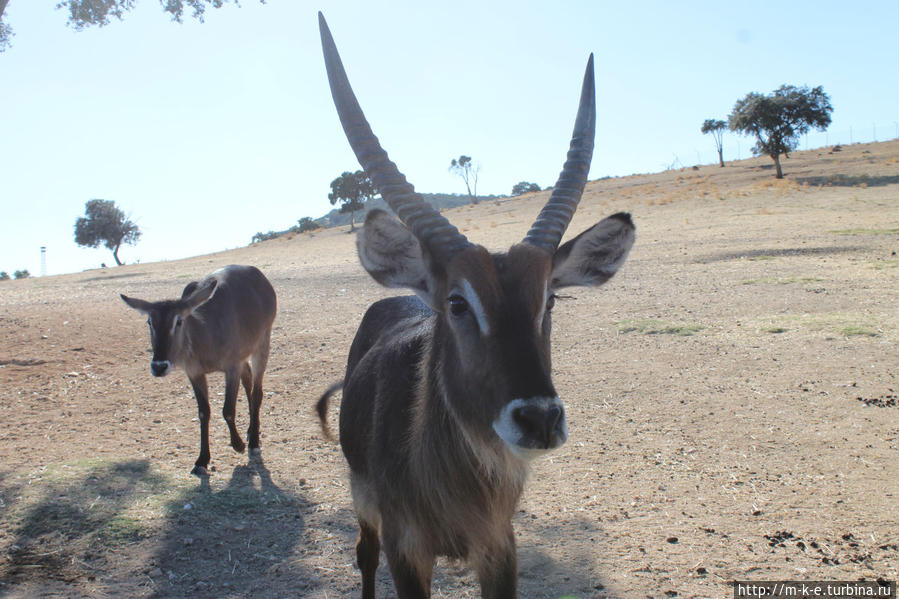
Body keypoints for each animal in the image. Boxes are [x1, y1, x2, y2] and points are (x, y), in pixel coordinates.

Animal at [119, 264, 276, 476]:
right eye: (149, 322)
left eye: (178, 321)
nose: (159, 366)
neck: (205, 334)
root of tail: (257, 274)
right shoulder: (195, 373)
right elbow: (203, 412)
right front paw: (202, 460)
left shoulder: (231, 368)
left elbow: (228, 410)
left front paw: (238, 445)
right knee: (248, 379)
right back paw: (251, 431)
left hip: (262, 343)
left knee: (257, 391)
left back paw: (253, 442)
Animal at [316, 12, 632, 599]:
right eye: (458, 303)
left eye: (550, 298)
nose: (540, 420)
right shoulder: (407, 552)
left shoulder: (500, 548)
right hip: (362, 502)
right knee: (363, 553)